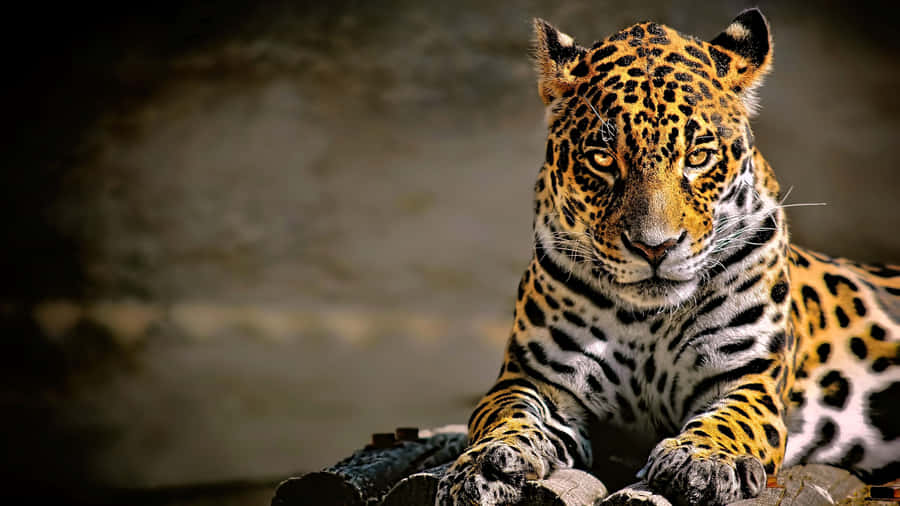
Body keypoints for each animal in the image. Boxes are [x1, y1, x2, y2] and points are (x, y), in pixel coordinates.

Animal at [436, 8, 900, 506]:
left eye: (697, 156)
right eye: (603, 159)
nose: (654, 247)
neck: (649, 320)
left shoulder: (750, 377)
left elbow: (731, 419)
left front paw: (701, 461)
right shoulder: (535, 377)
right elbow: (504, 414)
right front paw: (484, 465)